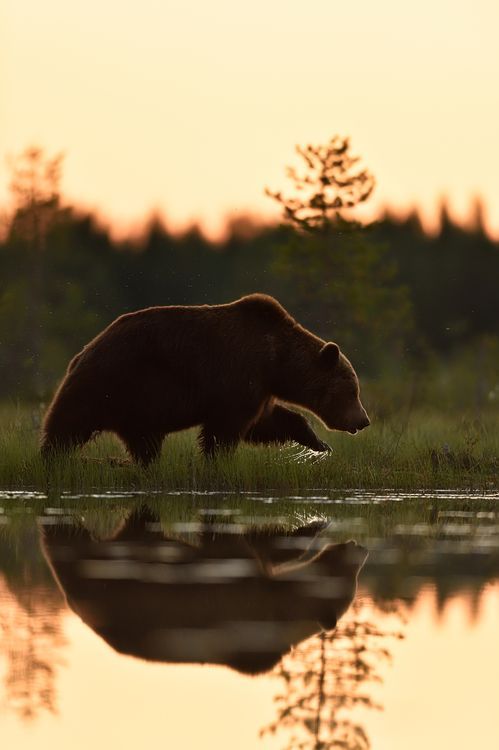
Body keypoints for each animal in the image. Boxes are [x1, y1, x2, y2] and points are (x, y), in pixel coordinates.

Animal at [41, 294, 370, 464]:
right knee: (67, 424)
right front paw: (217, 459)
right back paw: (52, 457)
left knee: (144, 440)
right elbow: (226, 429)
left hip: (135, 406)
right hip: (111, 382)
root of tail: (83, 351)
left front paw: (318, 443)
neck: (276, 360)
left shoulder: (258, 388)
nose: (363, 420)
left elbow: (268, 421)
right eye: (352, 390)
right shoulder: (239, 374)